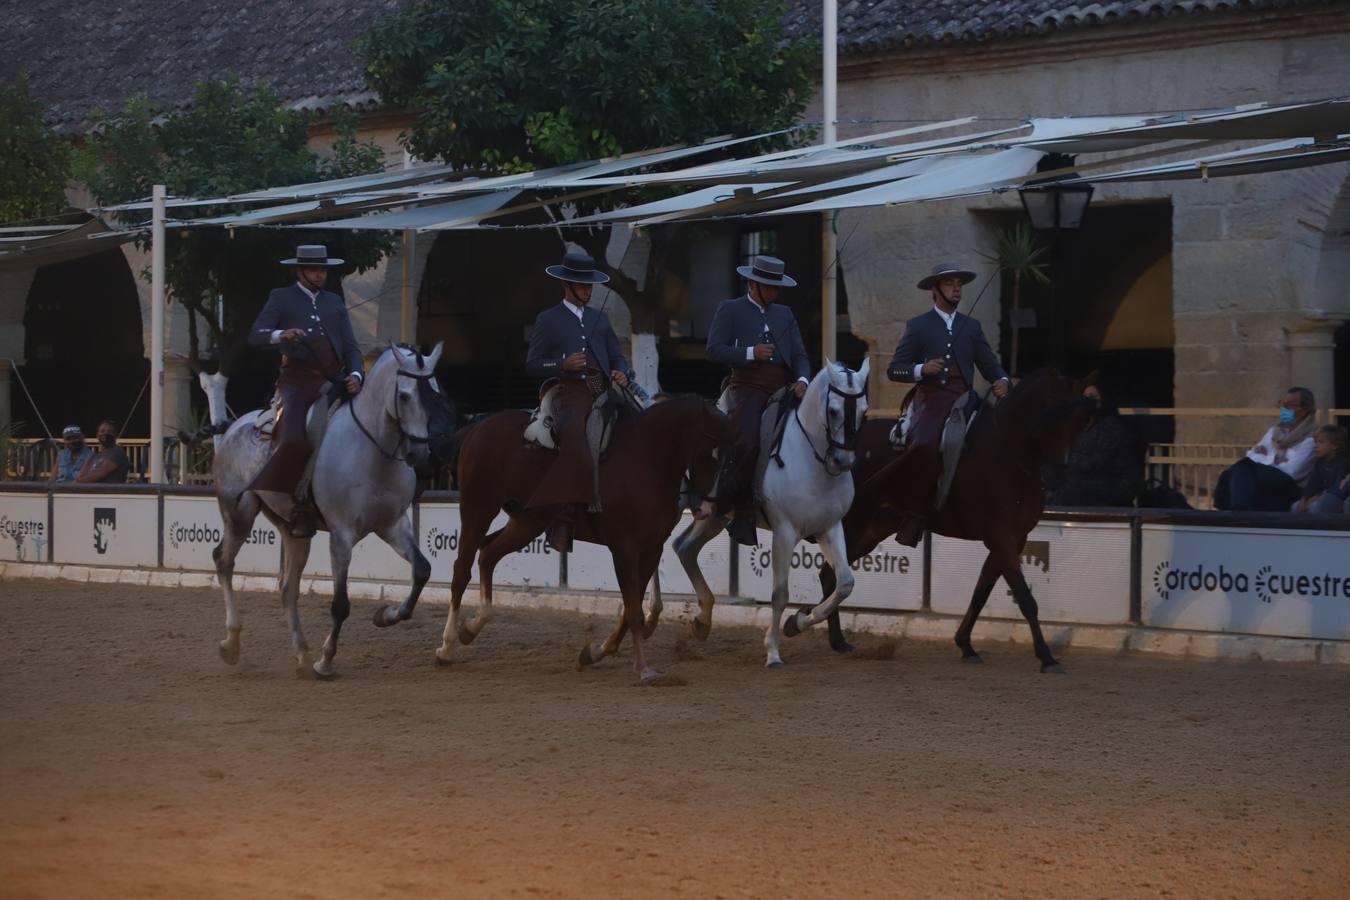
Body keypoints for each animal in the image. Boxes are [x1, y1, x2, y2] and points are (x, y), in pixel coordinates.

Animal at [210, 341, 442, 680]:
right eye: (404, 395)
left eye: (435, 393)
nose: (420, 453)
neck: (372, 451)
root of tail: (233, 427)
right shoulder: (341, 537)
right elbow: (341, 604)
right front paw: (326, 660)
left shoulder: (393, 525)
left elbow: (422, 570)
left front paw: (386, 615)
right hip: (239, 514)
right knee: (224, 562)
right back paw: (231, 644)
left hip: (293, 531)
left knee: (287, 589)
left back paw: (301, 654)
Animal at [437, 396, 729, 680]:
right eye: (709, 451)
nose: (707, 509)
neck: (646, 460)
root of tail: (477, 428)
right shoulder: (623, 548)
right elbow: (632, 610)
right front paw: (643, 668)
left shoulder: (651, 548)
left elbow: (631, 606)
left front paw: (596, 652)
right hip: (477, 510)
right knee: (461, 571)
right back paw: (447, 647)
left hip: (525, 523)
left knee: (488, 554)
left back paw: (471, 628)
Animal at [672, 361, 864, 669]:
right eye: (834, 410)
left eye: (862, 411)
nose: (842, 461)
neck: (811, 461)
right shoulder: (785, 532)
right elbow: (780, 594)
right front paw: (773, 651)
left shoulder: (830, 528)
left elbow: (845, 583)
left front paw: (796, 623)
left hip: (713, 516)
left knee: (684, 548)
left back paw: (702, 621)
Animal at [810, 369, 1096, 671]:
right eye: (1052, 413)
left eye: (1082, 419)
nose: (1063, 468)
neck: (1009, 454)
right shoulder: (1002, 538)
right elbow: (1024, 598)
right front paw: (1046, 656)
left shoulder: (1013, 540)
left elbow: (981, 592)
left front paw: (965, 644)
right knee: (831, 575)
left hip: (872, 530)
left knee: (831, 575)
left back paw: (838, 641)